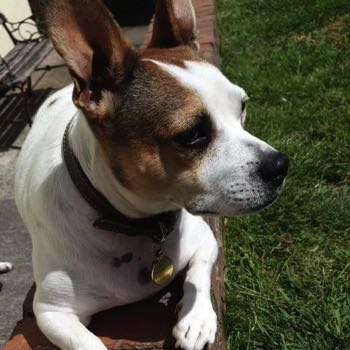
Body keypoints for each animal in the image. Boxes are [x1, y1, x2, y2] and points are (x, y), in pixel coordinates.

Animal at [14, 0, 288, 350]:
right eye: (192, 135)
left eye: (242, 106)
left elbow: (199, 274)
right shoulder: (52, 312)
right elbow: (89, 344)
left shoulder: (205, 239)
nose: (280, 165)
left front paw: (196, 319)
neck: (136, 222)